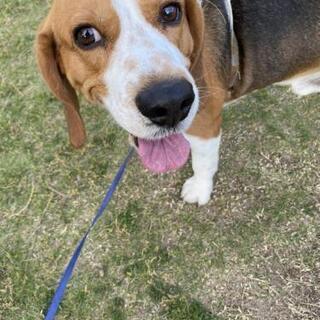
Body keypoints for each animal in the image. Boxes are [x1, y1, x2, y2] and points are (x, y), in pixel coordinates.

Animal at [36, 0, 320, 205]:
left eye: (170, 11)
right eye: (85, 35)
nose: (170, 102)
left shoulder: (204, 123)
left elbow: (203, 161)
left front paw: (200, 190)